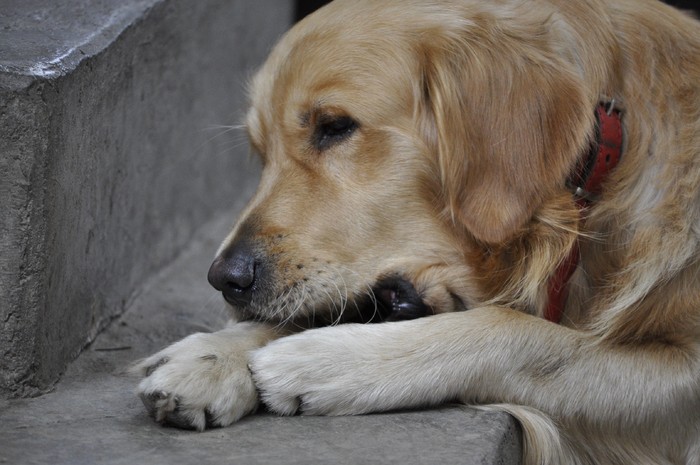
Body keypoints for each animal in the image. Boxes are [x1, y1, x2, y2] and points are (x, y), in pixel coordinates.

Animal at [133, 0, 700, 460]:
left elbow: (526, 336)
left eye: (334, 126)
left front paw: (325, 359)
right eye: (260, 151)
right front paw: (215, 353)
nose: (225, 279)